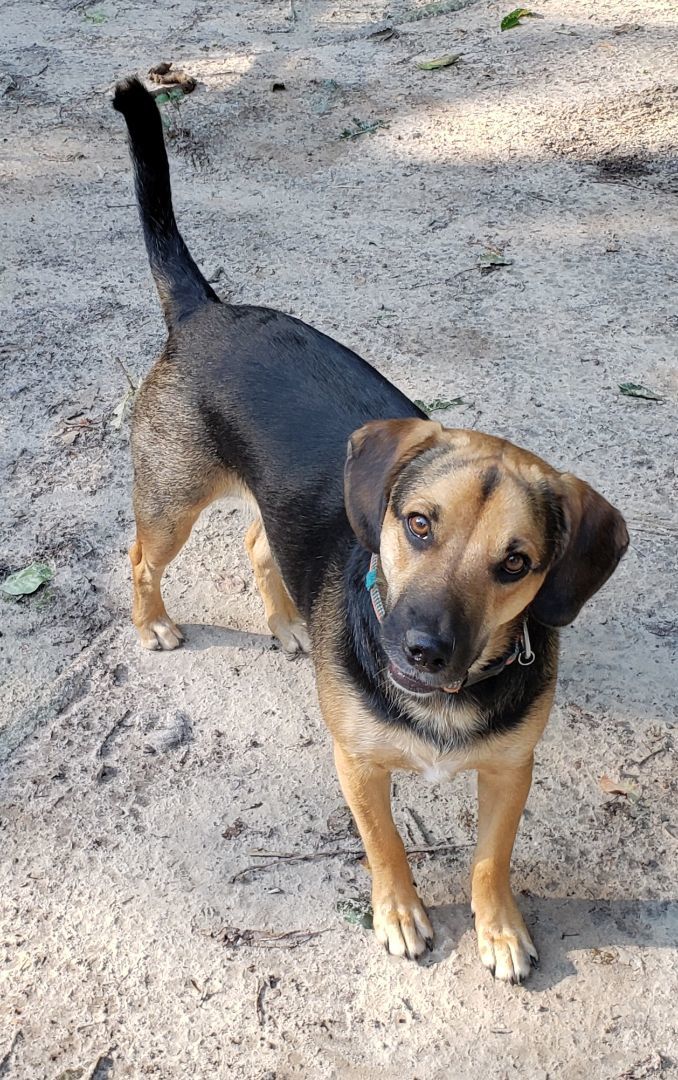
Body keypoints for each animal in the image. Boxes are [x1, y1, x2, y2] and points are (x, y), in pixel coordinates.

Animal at [113, 79, 626, 984]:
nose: (422, 649)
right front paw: (400, 914)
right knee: (139, 556)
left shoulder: (510, 769)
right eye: (418, 524)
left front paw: (498, 928)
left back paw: (288, 624)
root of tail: (208, 310)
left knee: (258, 544)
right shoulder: (357, 763)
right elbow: (385, 843)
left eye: (517, 563)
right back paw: (155, 625)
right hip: (173, 500)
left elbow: (490, 858)